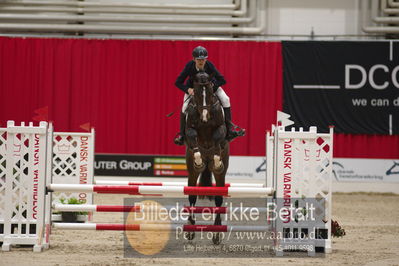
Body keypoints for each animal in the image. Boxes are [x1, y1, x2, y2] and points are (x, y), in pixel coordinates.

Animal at [184, 70, 228, 243]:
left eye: (210, 92)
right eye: (196, 92)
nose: (204, 117)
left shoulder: (221, 128)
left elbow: (217, 141)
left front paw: (217, 162)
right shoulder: (190, 130)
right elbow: (193, 140)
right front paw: (198, 161)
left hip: (221, 177)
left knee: (219, 200)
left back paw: (216, 233)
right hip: (191, 175)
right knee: (192, 197)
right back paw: (190, 229)